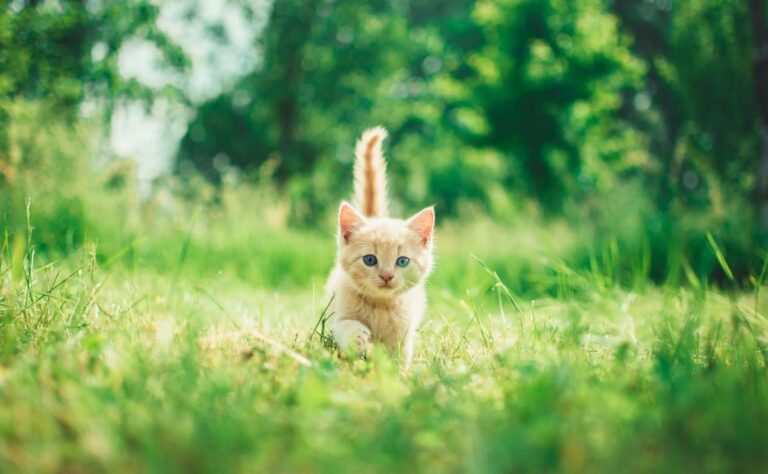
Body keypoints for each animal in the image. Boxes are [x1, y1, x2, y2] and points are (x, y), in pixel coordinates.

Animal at [326, 124, 436, 368]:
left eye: (402, 261)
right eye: (370, 260)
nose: (386, 276)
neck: (380, 306)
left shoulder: (403, 335)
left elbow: (398, 360)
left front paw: (396, 375)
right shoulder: (337, 315)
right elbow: (344, 326)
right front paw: (357, 336)